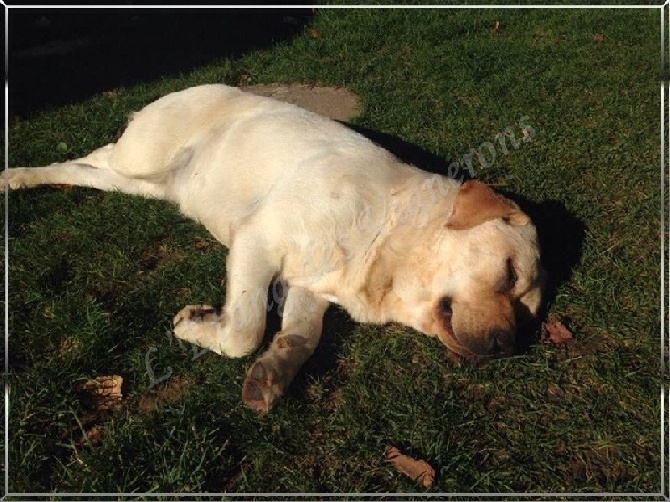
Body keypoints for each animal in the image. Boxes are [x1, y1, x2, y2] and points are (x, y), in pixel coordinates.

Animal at [2, 85, 544, 412]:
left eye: (527, 311)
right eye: (510, 273)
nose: (507, 347)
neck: (384, 235)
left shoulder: (309, 286)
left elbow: (301, 336)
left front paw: (271, 372)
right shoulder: (256, 241)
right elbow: (245, 329)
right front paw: (196, 325)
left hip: (139, 184)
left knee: (83, 171)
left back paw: (21, 178)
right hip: (139, 157)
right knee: (90, 157)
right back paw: (15, 175)